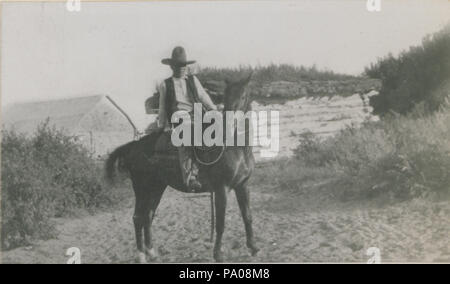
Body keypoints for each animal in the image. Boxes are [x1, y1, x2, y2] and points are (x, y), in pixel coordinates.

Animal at [105, 74, 258, 262]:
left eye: (243, 96)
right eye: (226, 96)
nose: (228, 123)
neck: (235, 148)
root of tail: (134, 145)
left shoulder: (242, 185)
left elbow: (247, 216)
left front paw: (253, 247)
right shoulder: (222, 188)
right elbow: (221, 223)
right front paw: (218, 254)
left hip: (157, 188)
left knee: (148, 215)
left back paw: (151, 251)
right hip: (142, 188)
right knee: (138, 217)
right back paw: (141, 255)